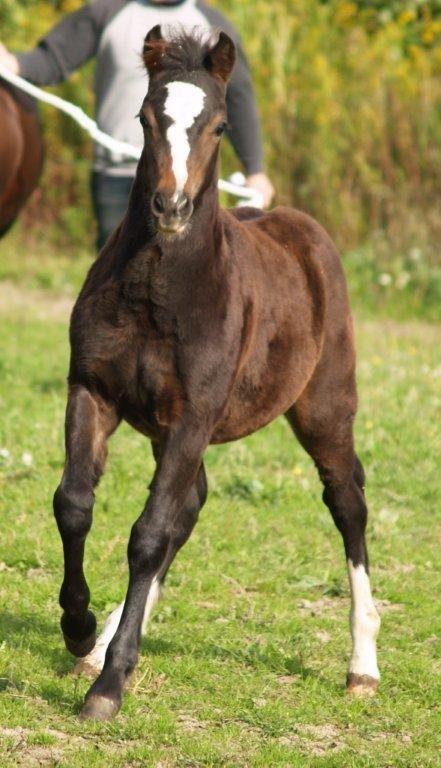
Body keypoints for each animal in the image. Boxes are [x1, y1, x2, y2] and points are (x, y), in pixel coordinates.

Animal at [53, 28, 380, 720]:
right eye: (144, 117)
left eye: (220, 126)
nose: (171, 206)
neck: (158, 292)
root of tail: (302, 229)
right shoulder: (94, 392)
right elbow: (75, 505)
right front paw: (82, 632)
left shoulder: (193, 417)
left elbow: (148, 534)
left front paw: (108, 686)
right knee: (191, 504)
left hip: (324, 410)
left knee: (347, 503)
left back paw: (362, 667)